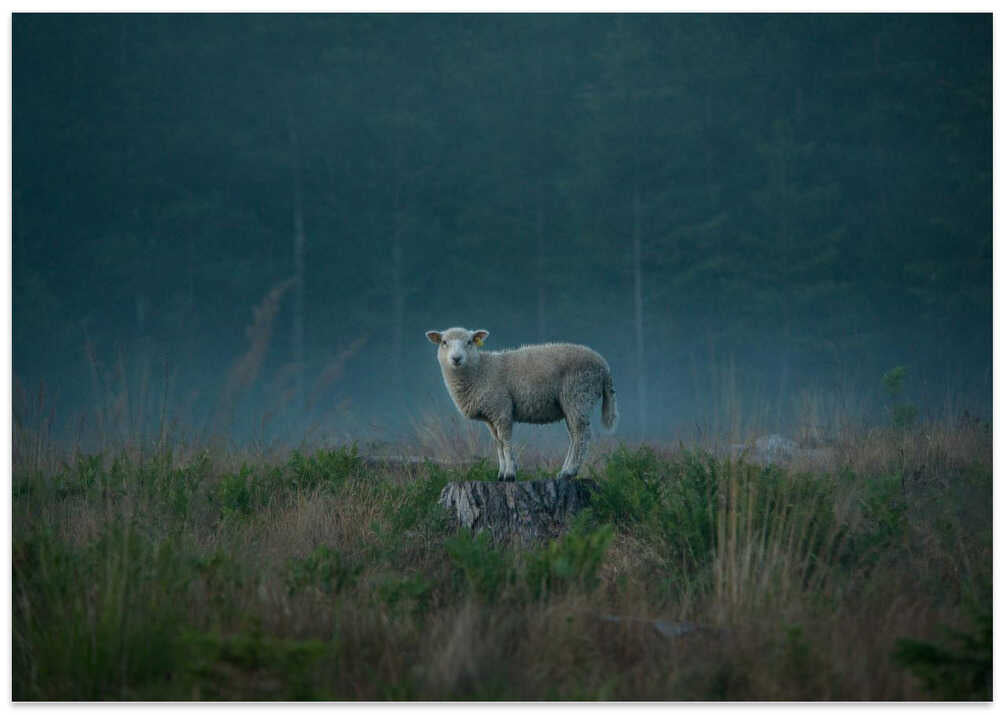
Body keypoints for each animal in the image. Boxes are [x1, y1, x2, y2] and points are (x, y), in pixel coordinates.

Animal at [425, 327, 618, 482]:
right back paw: (564, 471)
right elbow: (498, 444)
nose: (456, 358)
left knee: (582, 435)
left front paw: (510, 473)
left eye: (469, 342)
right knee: (574, 436)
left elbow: (506, 441)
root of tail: (604, 366)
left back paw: (569, 472)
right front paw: (501, 473)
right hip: (572, 402)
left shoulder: (501, 408)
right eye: (444, 342)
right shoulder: (490, 416)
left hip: (579, 395)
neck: (480, 370)